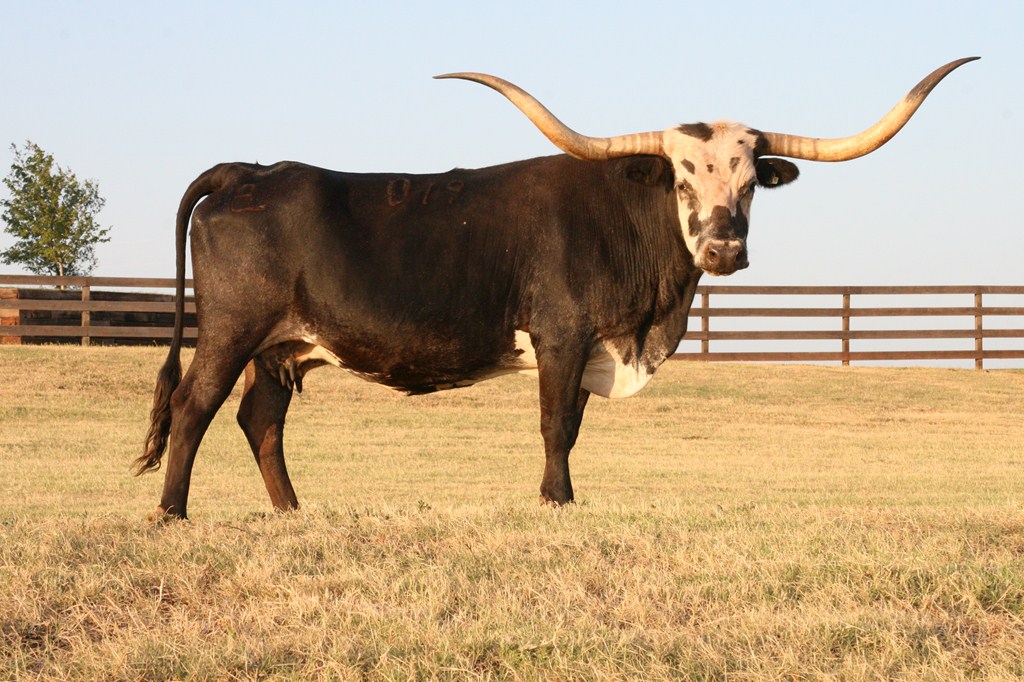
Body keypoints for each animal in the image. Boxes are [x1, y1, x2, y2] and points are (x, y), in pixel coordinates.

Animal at [136, 58, 976, 519]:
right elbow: (555, 425)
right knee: (195, 406)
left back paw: (292, 513)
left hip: (281, 345)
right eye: (680, 177)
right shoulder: (562, 336)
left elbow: (570, 424)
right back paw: (171, 512)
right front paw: (555, 499)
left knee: (259, 420)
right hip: (233, 329)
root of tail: (251, 170)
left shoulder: (591, 344)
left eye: (749, 184)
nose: (723, 246)